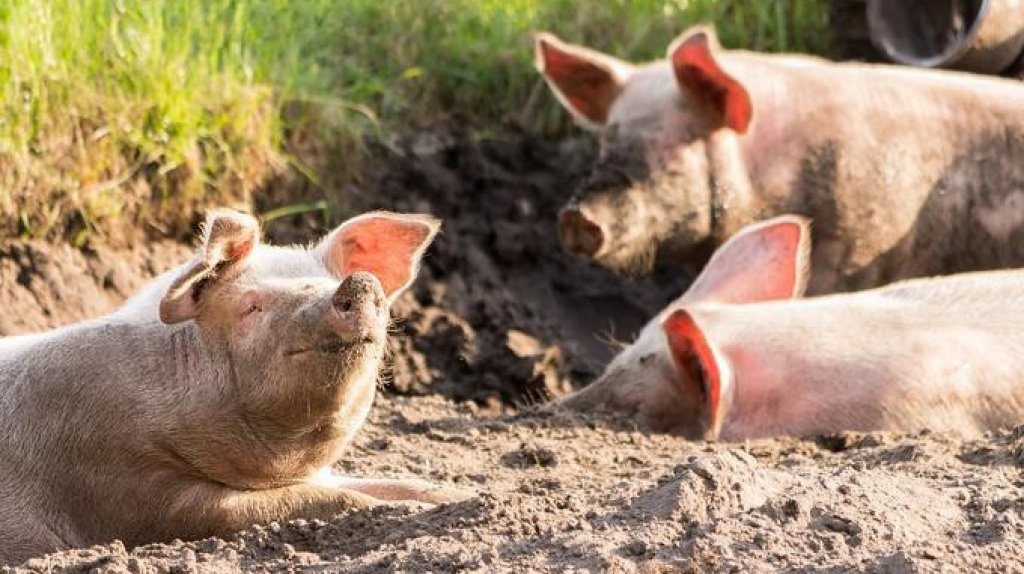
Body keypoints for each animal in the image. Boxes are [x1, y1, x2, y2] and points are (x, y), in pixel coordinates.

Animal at [0, 209, 469, 565]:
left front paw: (460, 496)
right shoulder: (124, 485)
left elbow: (390, 484)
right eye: (251, 307)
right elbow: (318, 501)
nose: (359, 281)